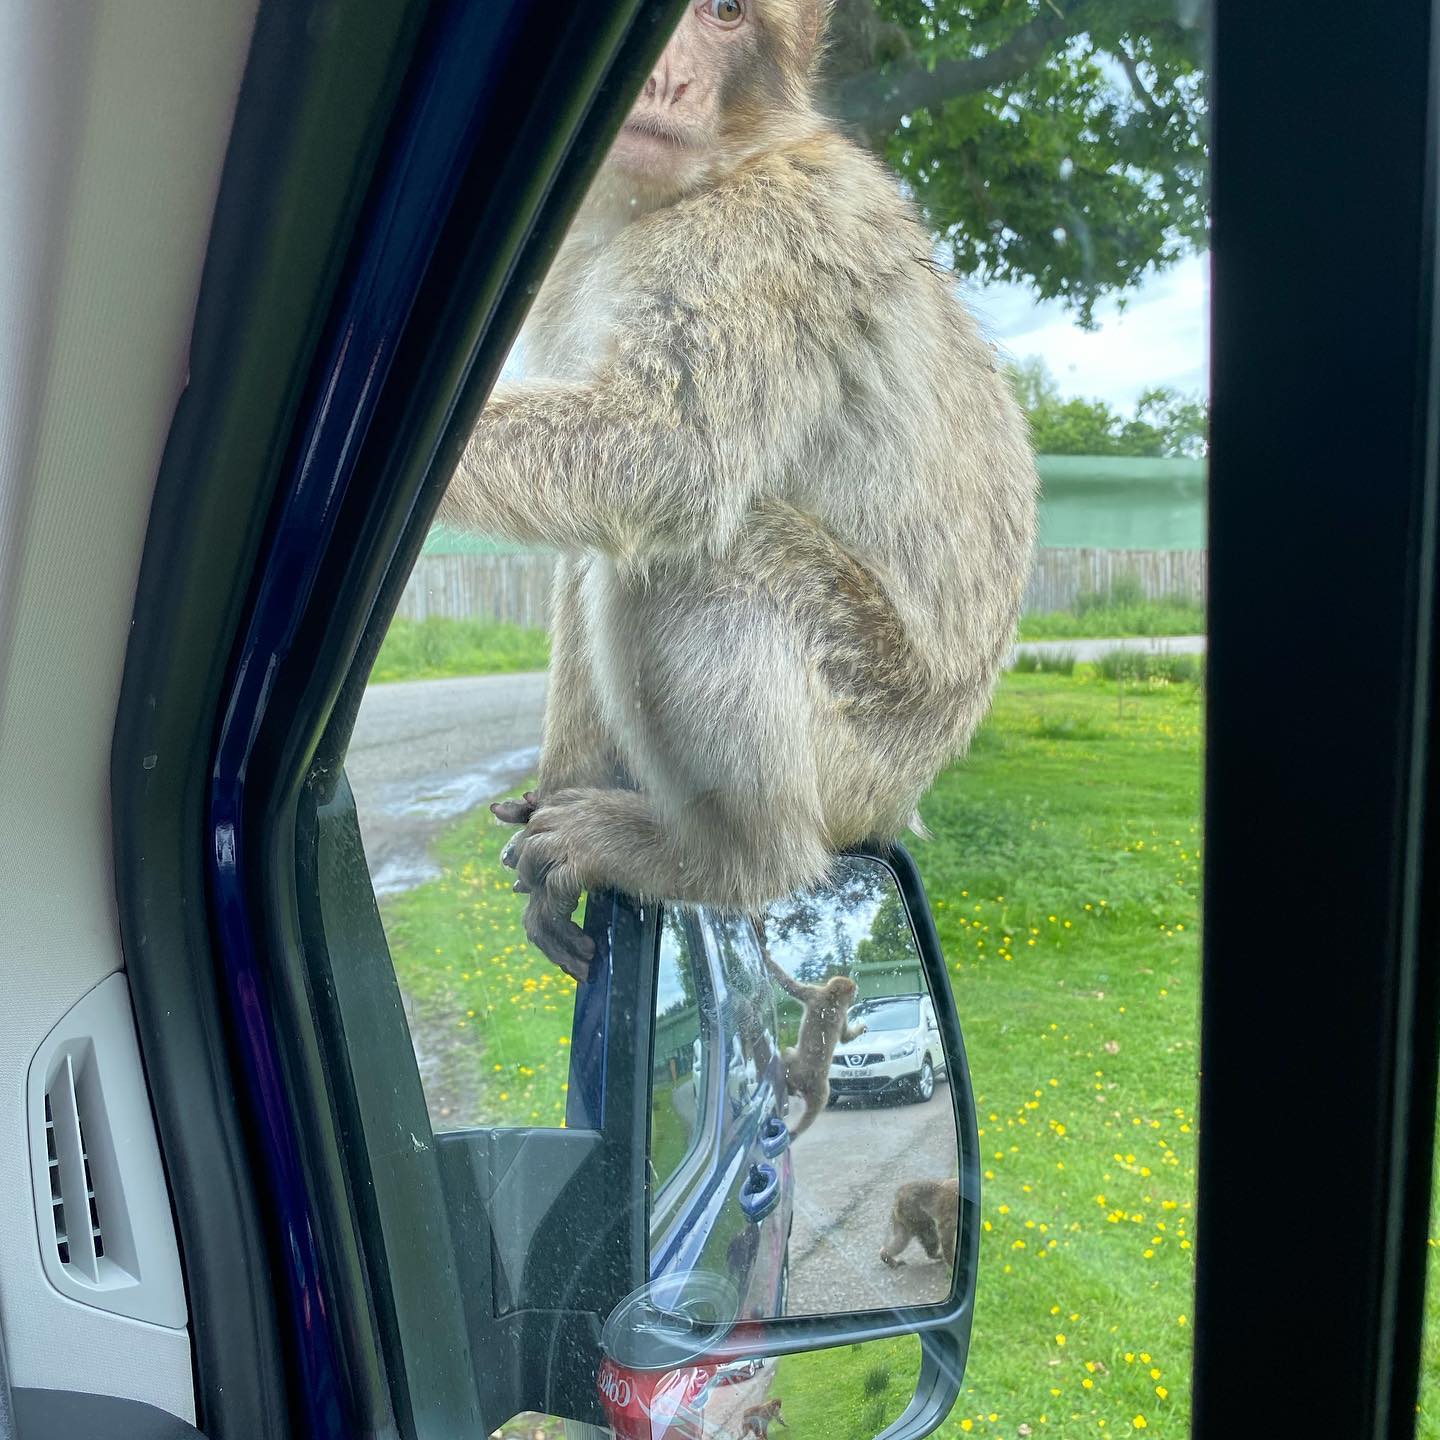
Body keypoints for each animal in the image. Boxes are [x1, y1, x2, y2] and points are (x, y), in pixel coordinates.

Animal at [448, 0, 1038, 979]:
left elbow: (660, 457)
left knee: (700, 563)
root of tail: (906, 792)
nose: (665, 77)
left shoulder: (766, 238)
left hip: (863, 735)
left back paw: (731, 859)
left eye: (724, 13)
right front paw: (563, 784)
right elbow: (595, 519)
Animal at [761, 949, 864, 1138]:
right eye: (852, 987)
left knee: (788, 1056)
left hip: (803, 1074)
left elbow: (789, 984)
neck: (831, 999)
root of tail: (807, 1081)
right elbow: (845, 1036)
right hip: (816, 1086)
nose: (857, 988)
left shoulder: (813, 993)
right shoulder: (824, 1000)